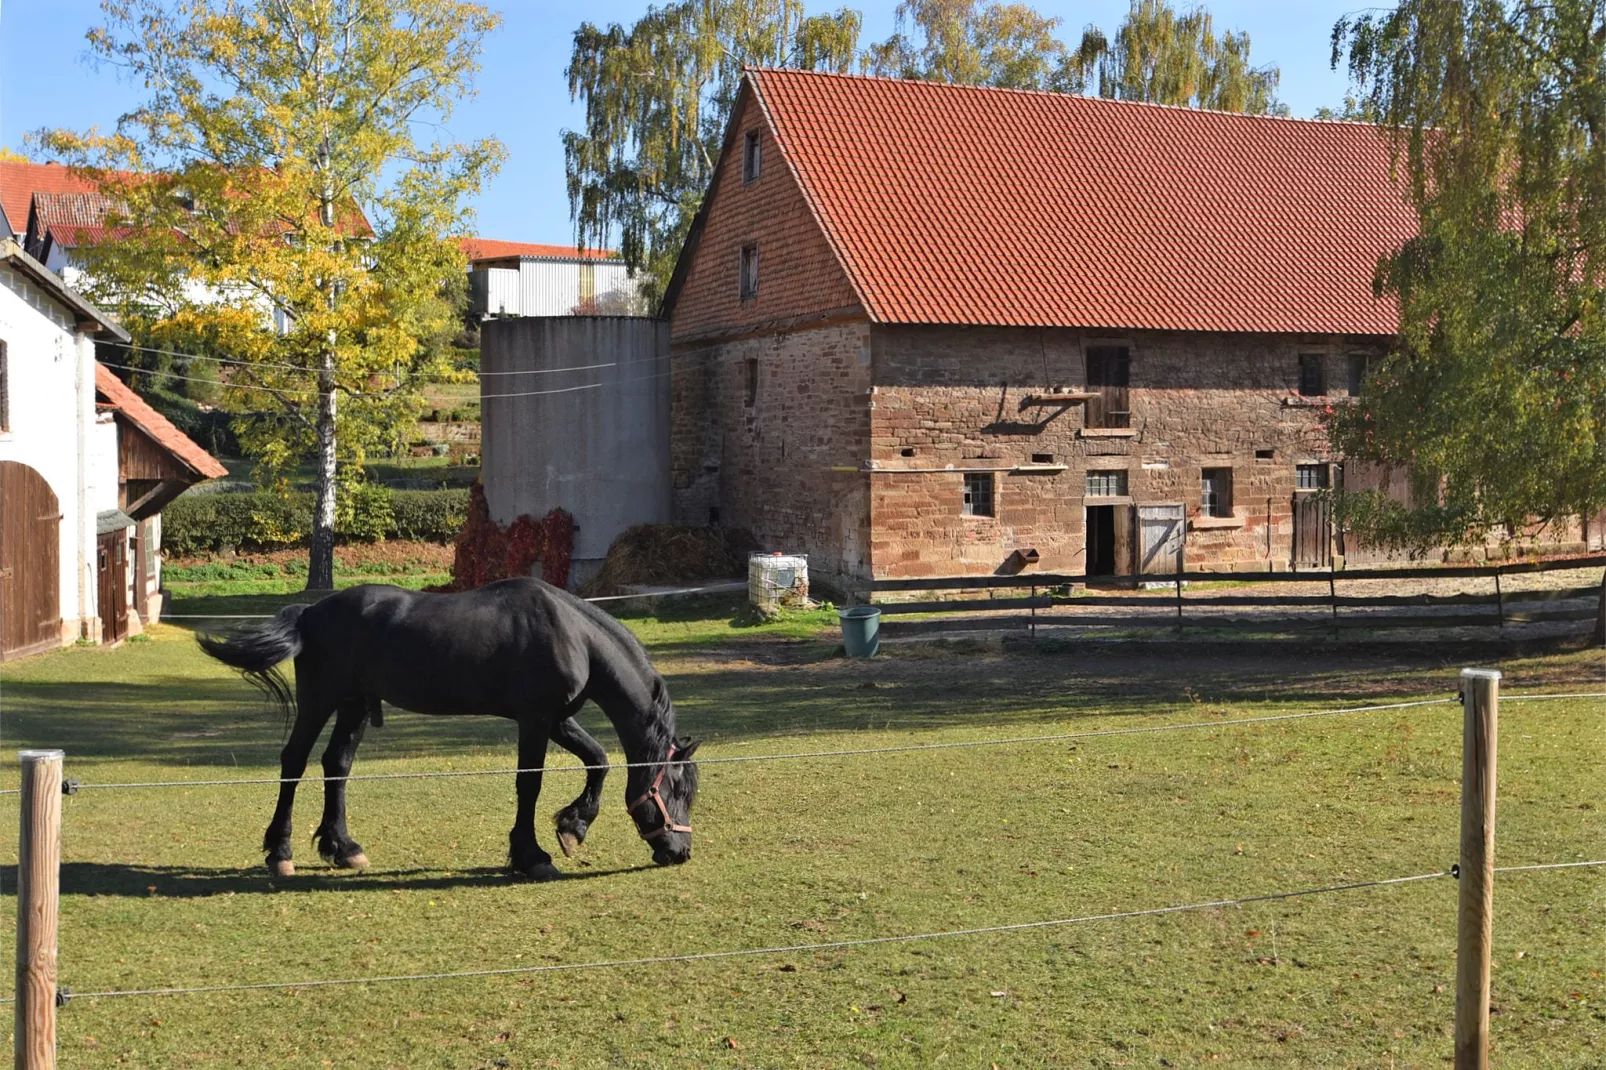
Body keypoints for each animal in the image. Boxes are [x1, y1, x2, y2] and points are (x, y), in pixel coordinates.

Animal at [197, 578, 700, 880]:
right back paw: (279, 854)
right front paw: (532, 855)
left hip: (354, 706)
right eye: (676, 790)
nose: (679, 851)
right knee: (294, 762)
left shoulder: (557, 718)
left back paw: (342, 847)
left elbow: (598, 759)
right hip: (320, 700)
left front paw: (573, 827)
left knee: (336, 765)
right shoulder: (536, 720)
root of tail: (309, 612)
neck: (573, 635)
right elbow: (530, 784)